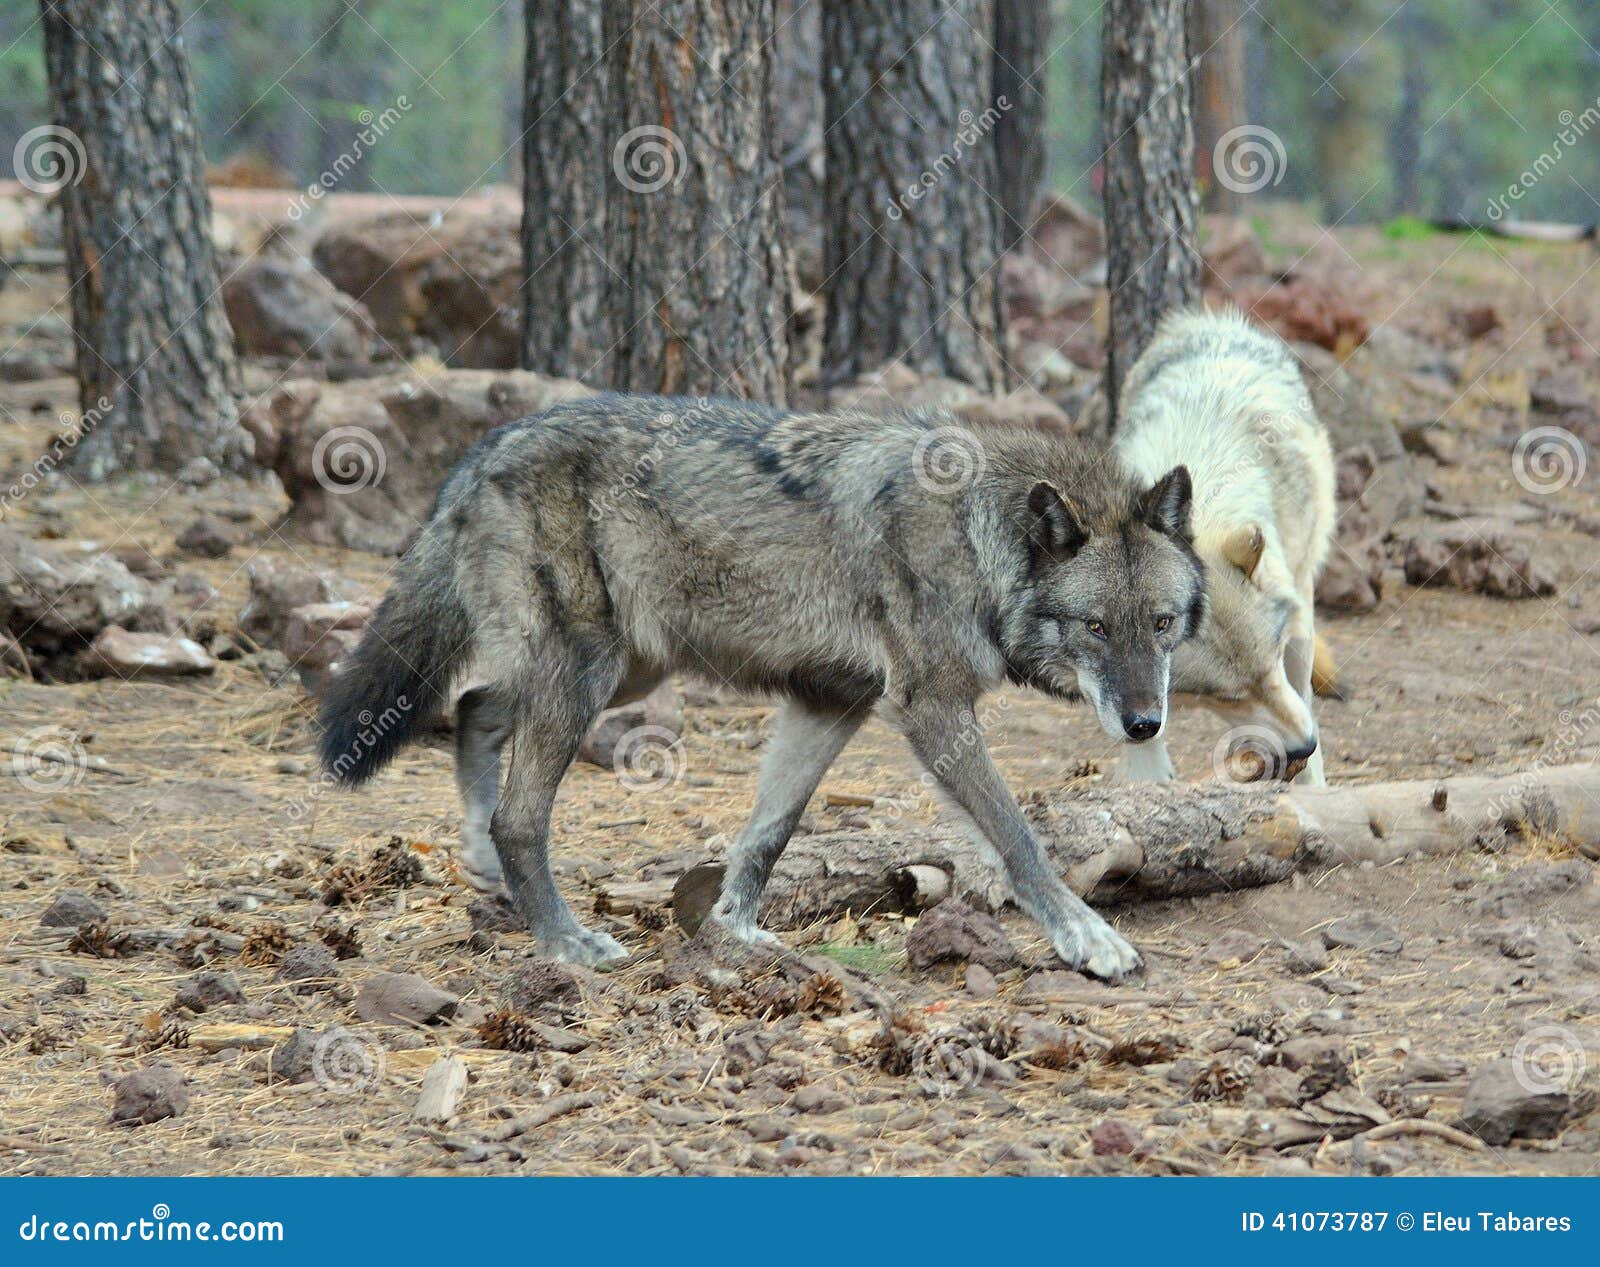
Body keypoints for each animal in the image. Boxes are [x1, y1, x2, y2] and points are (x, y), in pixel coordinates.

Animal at [321, 396, 1203, 979]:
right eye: (1095, 627)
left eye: (1160, 624)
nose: (1144, 724)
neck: (975, 534)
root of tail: (483, 448)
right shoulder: (929, 708)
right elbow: (1019, 838)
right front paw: (1087, 937)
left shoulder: (830, 702)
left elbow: (767, 833)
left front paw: (733, 932)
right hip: (588, 676)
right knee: (517, 814)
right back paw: (565, 942)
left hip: (619, 670)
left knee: (474, 704)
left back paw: (478, 861)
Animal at [1113, 307, 1337, 780]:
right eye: (1226, 696)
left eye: (1272, 661)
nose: (1304, 745)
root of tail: (1207, 319)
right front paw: (1147, 775)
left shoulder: (1292, 636)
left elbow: (1302, 698)